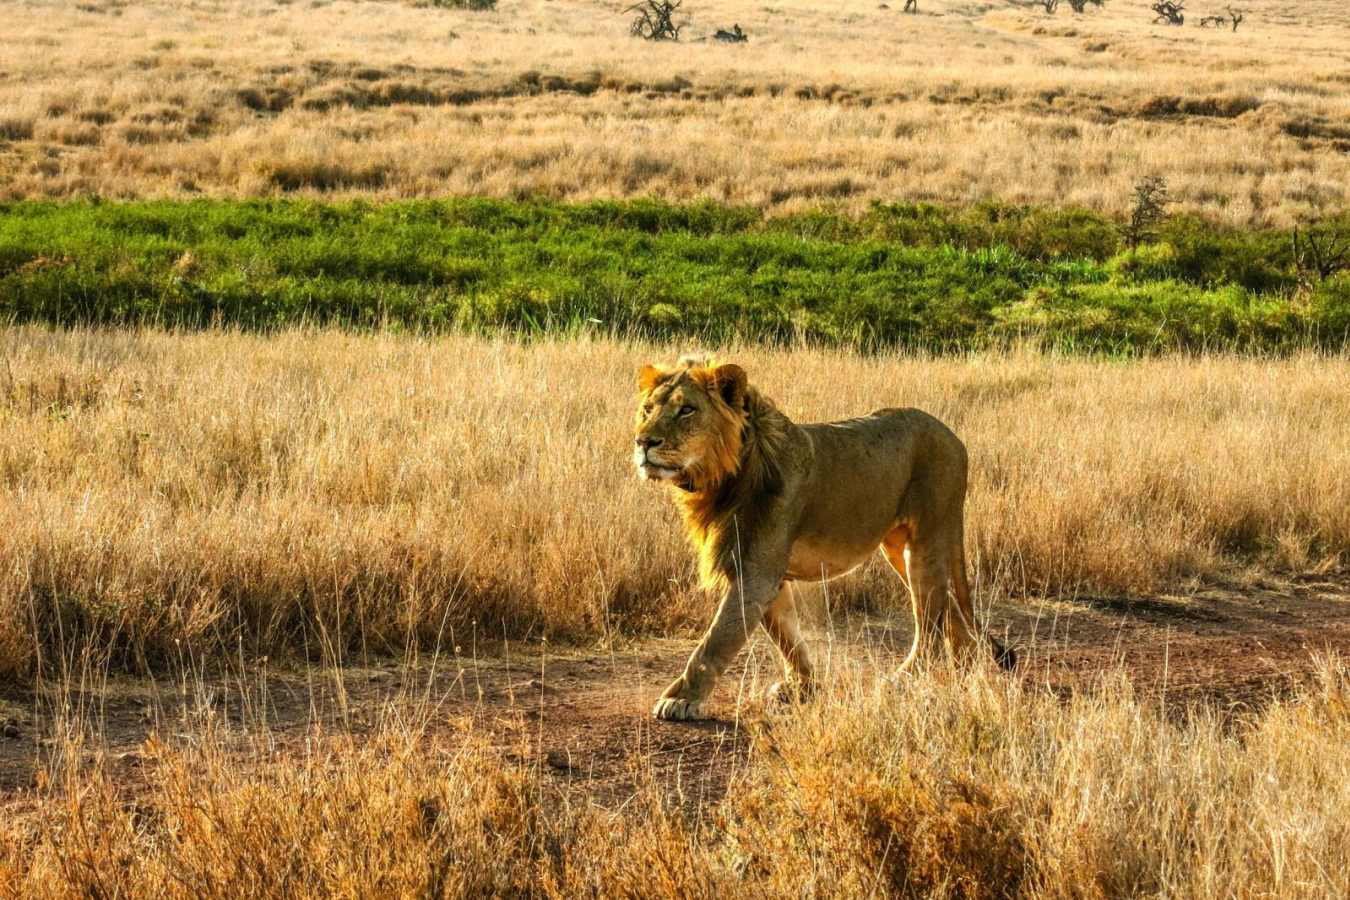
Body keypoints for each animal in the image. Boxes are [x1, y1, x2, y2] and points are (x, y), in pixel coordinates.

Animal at [633, 356, 1014, 721]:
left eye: (687, 409)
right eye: (648, 410)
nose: (643, 442)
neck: (720, 480)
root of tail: (954, 438)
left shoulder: (756, 571)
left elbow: (716, 640)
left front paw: (682, 699)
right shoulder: (765, 572)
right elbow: (787, 634)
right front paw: (802, 686)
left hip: (927, 540)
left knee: (930, 620)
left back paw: (905, 679)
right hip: (898, 547)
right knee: (948, 608)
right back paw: (966, 668)